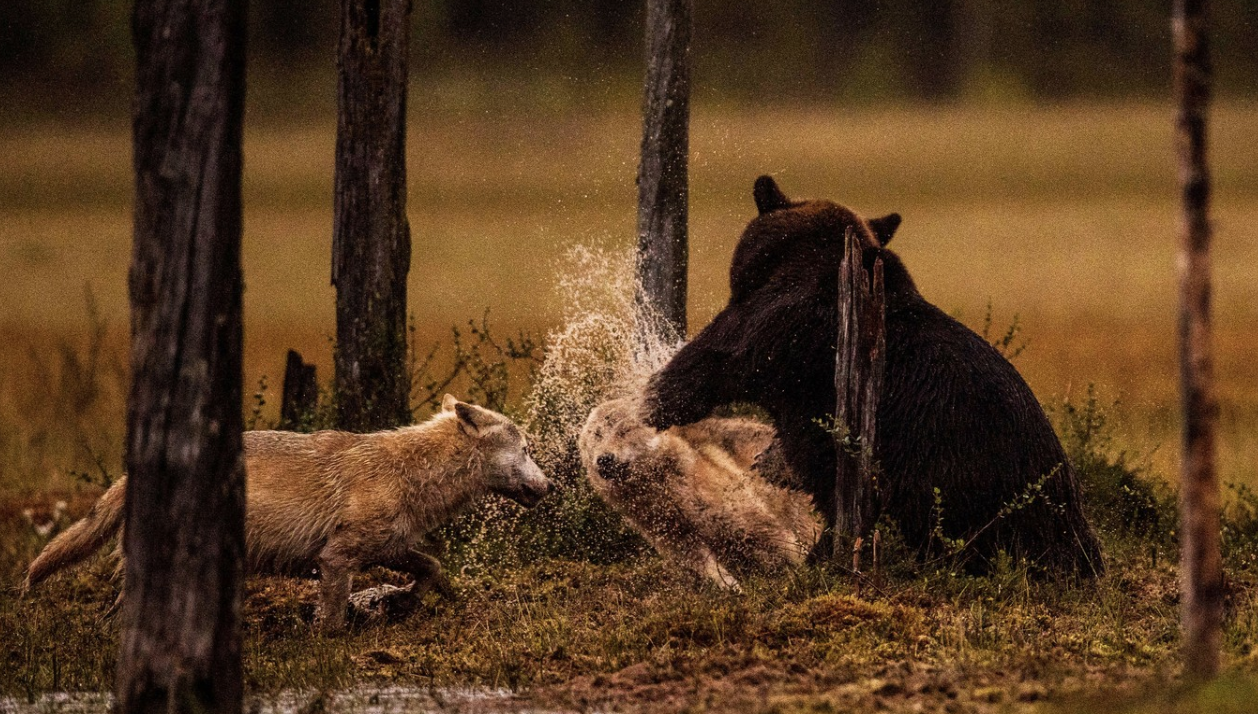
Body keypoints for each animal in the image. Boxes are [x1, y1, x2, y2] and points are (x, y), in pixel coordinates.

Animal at [23, 392, 551, 633]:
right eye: (527, 450)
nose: (550, 486)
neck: (410, 474)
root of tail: (127, 479)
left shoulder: (390, 547)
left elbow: (433, 567)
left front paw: (419, 601)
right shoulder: (336, 559)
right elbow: (332, 619)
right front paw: (329, 645)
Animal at [576, 397, 815, 590]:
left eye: (624, 430)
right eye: (596, 435)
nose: (604, 459)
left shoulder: (713, 493)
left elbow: (762, 529)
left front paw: (801, 565)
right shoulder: (662, 523)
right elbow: (695, 557)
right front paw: (729, 585)